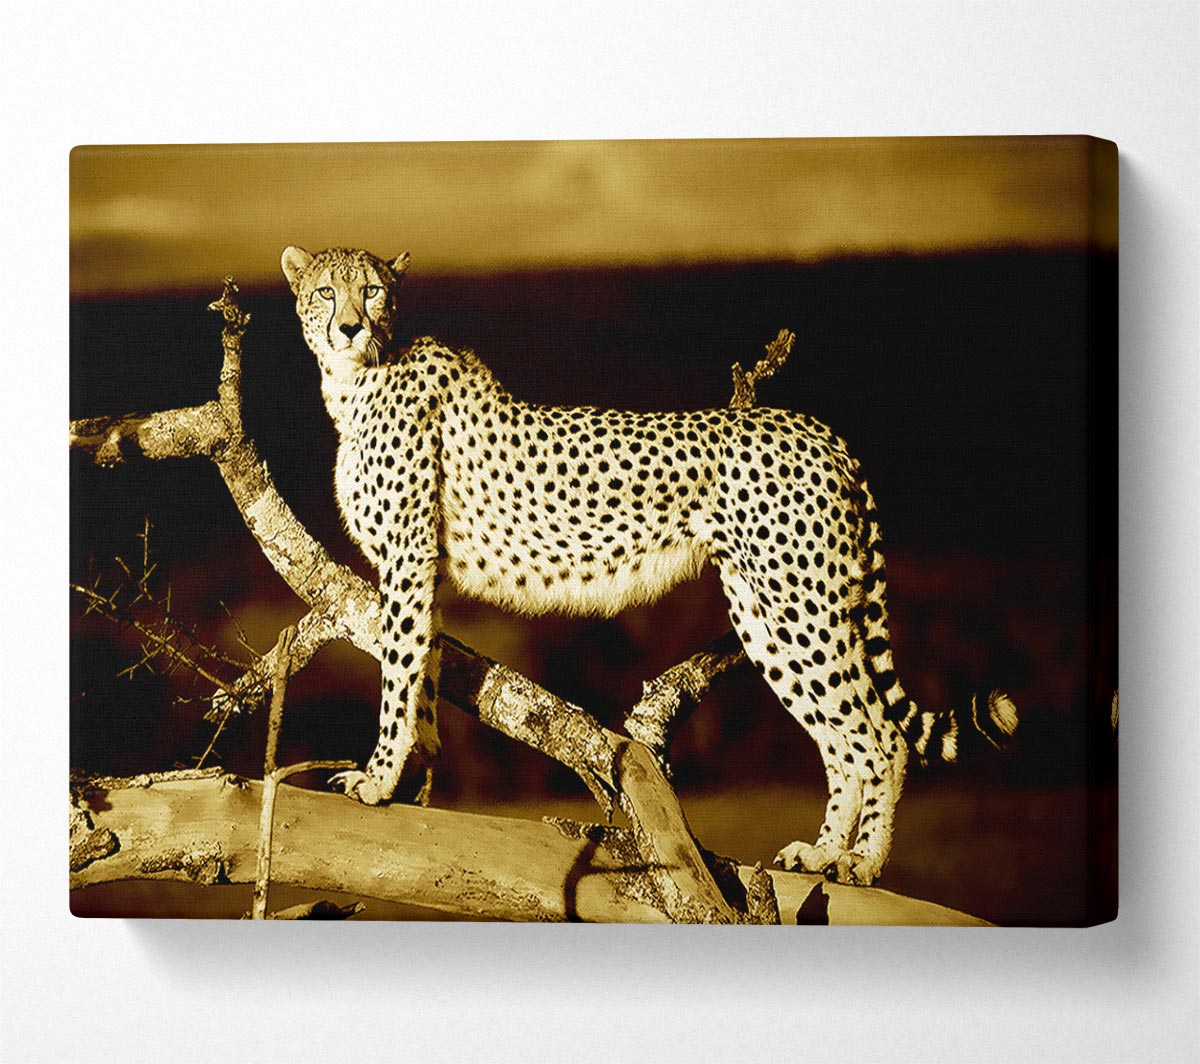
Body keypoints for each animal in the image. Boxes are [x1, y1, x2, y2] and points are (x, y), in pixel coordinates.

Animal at [281, 244, 1018, 886]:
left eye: (372, 291)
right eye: (325, 292)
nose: (349, 327)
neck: (357, 379)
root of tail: (816, 428)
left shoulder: (407, 558)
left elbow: (399, 672)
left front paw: (379, 778)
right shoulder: (422, 567)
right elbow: (423, 671)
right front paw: (411, 776)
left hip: (802, 606)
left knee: (880, 738)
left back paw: (862, 864)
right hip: (768, 615)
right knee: (840, 741)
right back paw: (824, 853)